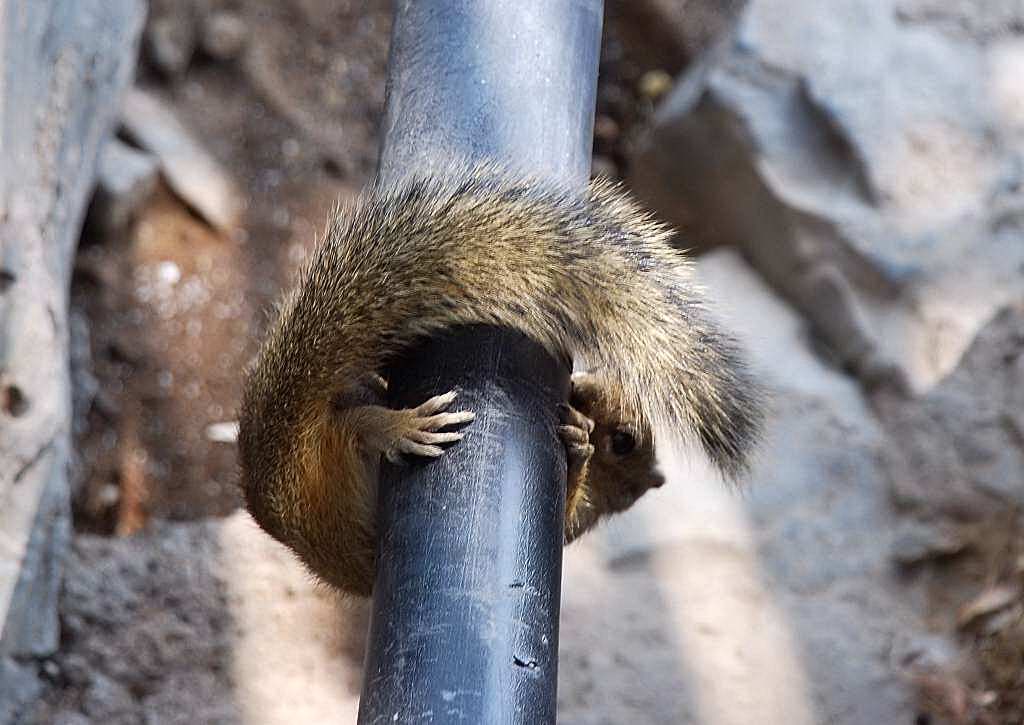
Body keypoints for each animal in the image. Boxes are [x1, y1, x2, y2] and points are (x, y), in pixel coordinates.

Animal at [237, 166, 764, 597]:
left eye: (624, 441)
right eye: (592, 381)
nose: (577, 391)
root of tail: (283, 501)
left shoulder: (578, 521)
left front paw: (578, 445)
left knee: (356, 426)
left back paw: (401, 427)